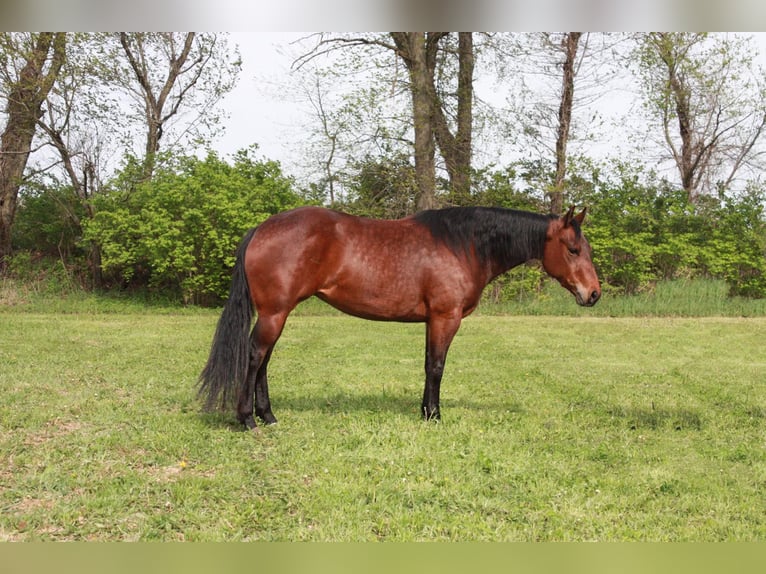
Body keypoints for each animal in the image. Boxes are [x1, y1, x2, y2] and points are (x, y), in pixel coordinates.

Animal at [196, 205, 600, 430]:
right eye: (573, 249)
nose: (593, 293)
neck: (463, 245)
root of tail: (262, 229)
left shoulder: (432, 321)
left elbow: (427, 364)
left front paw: (424, 411)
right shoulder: (445, 317)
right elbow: (436, 366)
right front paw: (434, 416)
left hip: (276, 314)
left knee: (263, 360)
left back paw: (268, 416)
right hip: (275, 313)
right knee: (255, 357)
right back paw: (248, 419)